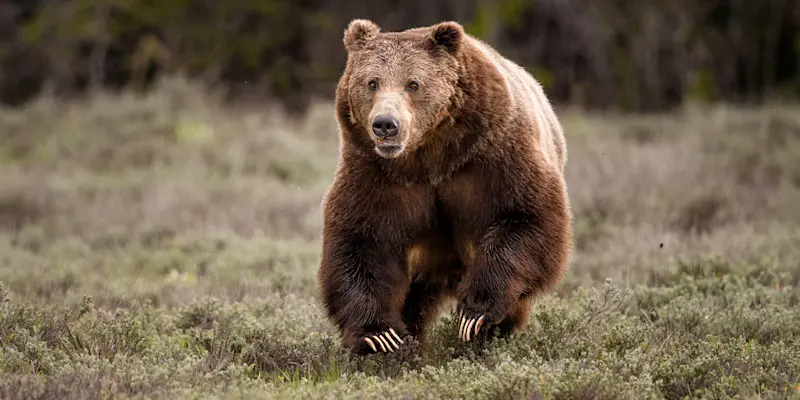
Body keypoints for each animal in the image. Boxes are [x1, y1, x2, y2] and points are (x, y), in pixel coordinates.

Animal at [316, 19, 572, 355]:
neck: (431, 156)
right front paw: (380, 335)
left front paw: (475, 314)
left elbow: (524, 216)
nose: (385, 124)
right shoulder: (378, 175)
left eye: (413, 83)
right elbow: (362, 240)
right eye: (372, 82)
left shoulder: (494, 155)